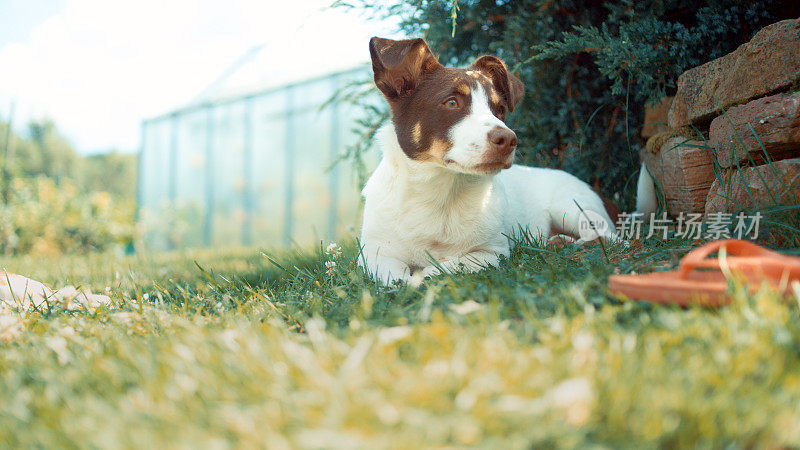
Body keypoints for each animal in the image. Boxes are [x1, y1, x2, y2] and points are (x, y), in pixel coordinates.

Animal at [360, 38, 620, 284]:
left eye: (500, 109)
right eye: (452, 102)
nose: (508, 140)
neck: (441, 194)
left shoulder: (490, 253)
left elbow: (445, 266)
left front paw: (423, 276)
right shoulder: (374, 253)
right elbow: (392, 275)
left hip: (573, 208)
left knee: (612, 238)